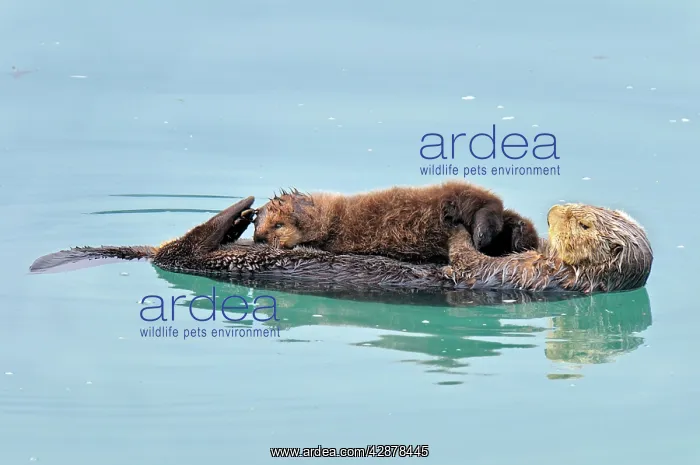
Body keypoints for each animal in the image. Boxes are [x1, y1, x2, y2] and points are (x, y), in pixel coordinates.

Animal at [252, 182, 539, 262]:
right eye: (259, 226)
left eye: (278, 225)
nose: (259, 238)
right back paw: (515, 235)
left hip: (454, 195)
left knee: (488, 203)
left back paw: (482, 234)